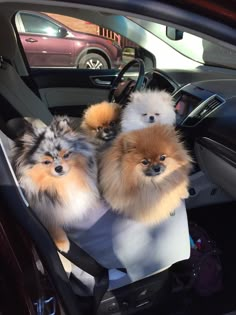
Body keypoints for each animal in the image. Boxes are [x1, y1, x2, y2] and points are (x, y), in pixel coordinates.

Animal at [12, 117, 100, 253]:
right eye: (46, 162)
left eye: (66, 155)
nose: (58, 168)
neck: (62, 182)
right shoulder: (40, 207)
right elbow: (52, 223)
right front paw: (62, 242)